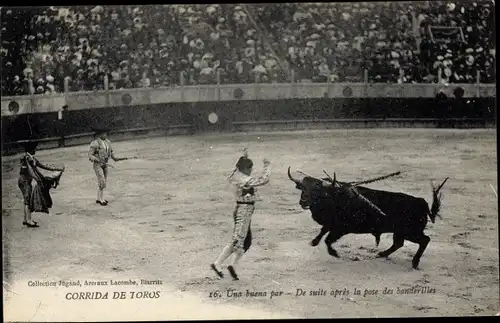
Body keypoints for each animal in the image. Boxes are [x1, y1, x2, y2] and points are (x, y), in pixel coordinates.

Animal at [290, 167, 450, 270]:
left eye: (317, 190)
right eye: (302, 187)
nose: (303, 201)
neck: (333, 196)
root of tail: (422, 202)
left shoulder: (340, 229)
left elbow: (328, 240)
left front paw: (335, 253)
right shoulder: (331, 225)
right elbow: (322, 232)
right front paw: (314, 242)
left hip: (411, 231)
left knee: (424, 240)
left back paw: (415, 263)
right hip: (400, 232)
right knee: (399, 243)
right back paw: (381, 254)